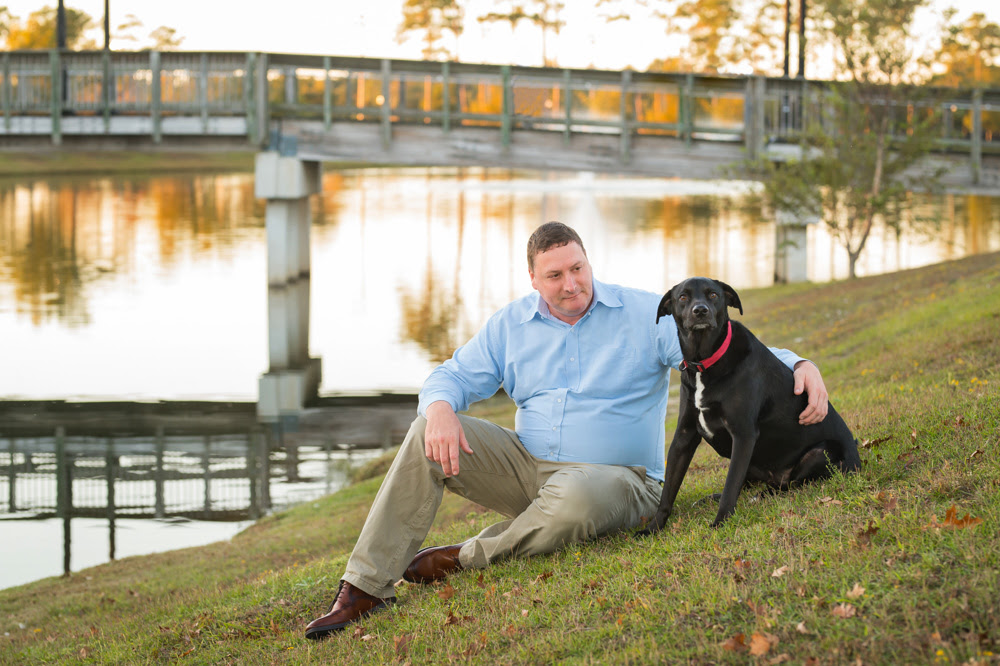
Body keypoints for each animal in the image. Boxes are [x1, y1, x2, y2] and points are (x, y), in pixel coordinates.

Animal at [644, 276, 864, 528]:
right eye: (683, 297)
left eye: (713, 295)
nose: (700, 311)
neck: (705, 362)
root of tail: (857, 458)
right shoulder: (684, 435)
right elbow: (669, 489)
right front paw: (653, 528)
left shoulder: (743, 434)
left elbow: (731, 485)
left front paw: (721, 522)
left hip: (822, 451)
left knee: (787, 484)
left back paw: (762, 495)